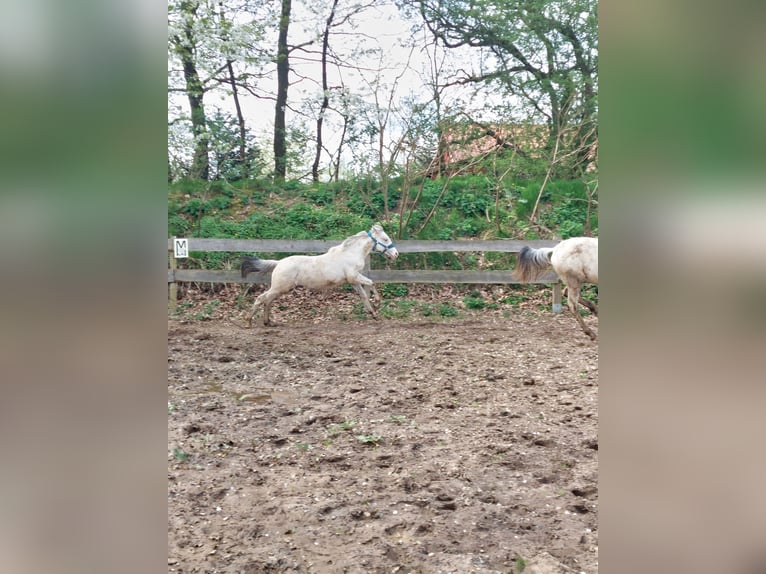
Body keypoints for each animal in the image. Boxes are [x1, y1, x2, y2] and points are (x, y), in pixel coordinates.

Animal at [240, 226, 400, 328]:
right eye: (385, 239)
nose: (396, 254)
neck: (350, 254)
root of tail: (279, 263)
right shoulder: (354, 276)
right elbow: (371, 282)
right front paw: (377, 304)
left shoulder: (353, 281)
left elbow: (363, 296)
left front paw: (373, 314)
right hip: (280, 287)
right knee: (261, 299)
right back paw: (248, 322)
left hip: (280, 289)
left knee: (267, 301)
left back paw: (268, 322)